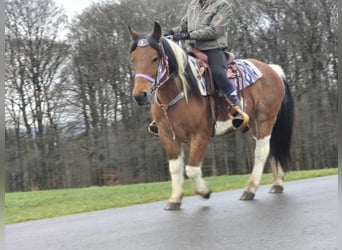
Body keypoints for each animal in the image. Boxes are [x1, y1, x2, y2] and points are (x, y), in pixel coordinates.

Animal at [128, 21, 294, 210]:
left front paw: (204, 191)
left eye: (155, 58)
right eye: (133, 59)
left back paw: (250, 189)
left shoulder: (201, 134)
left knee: (261, 151)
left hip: (265, 119)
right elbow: (176, 168)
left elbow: (191, 169)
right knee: (271, 147)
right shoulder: (167, 136)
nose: (140, 95)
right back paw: (277, 184)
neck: (181, 91)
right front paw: (175, 199)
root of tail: (272, 69)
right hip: (254, 123)